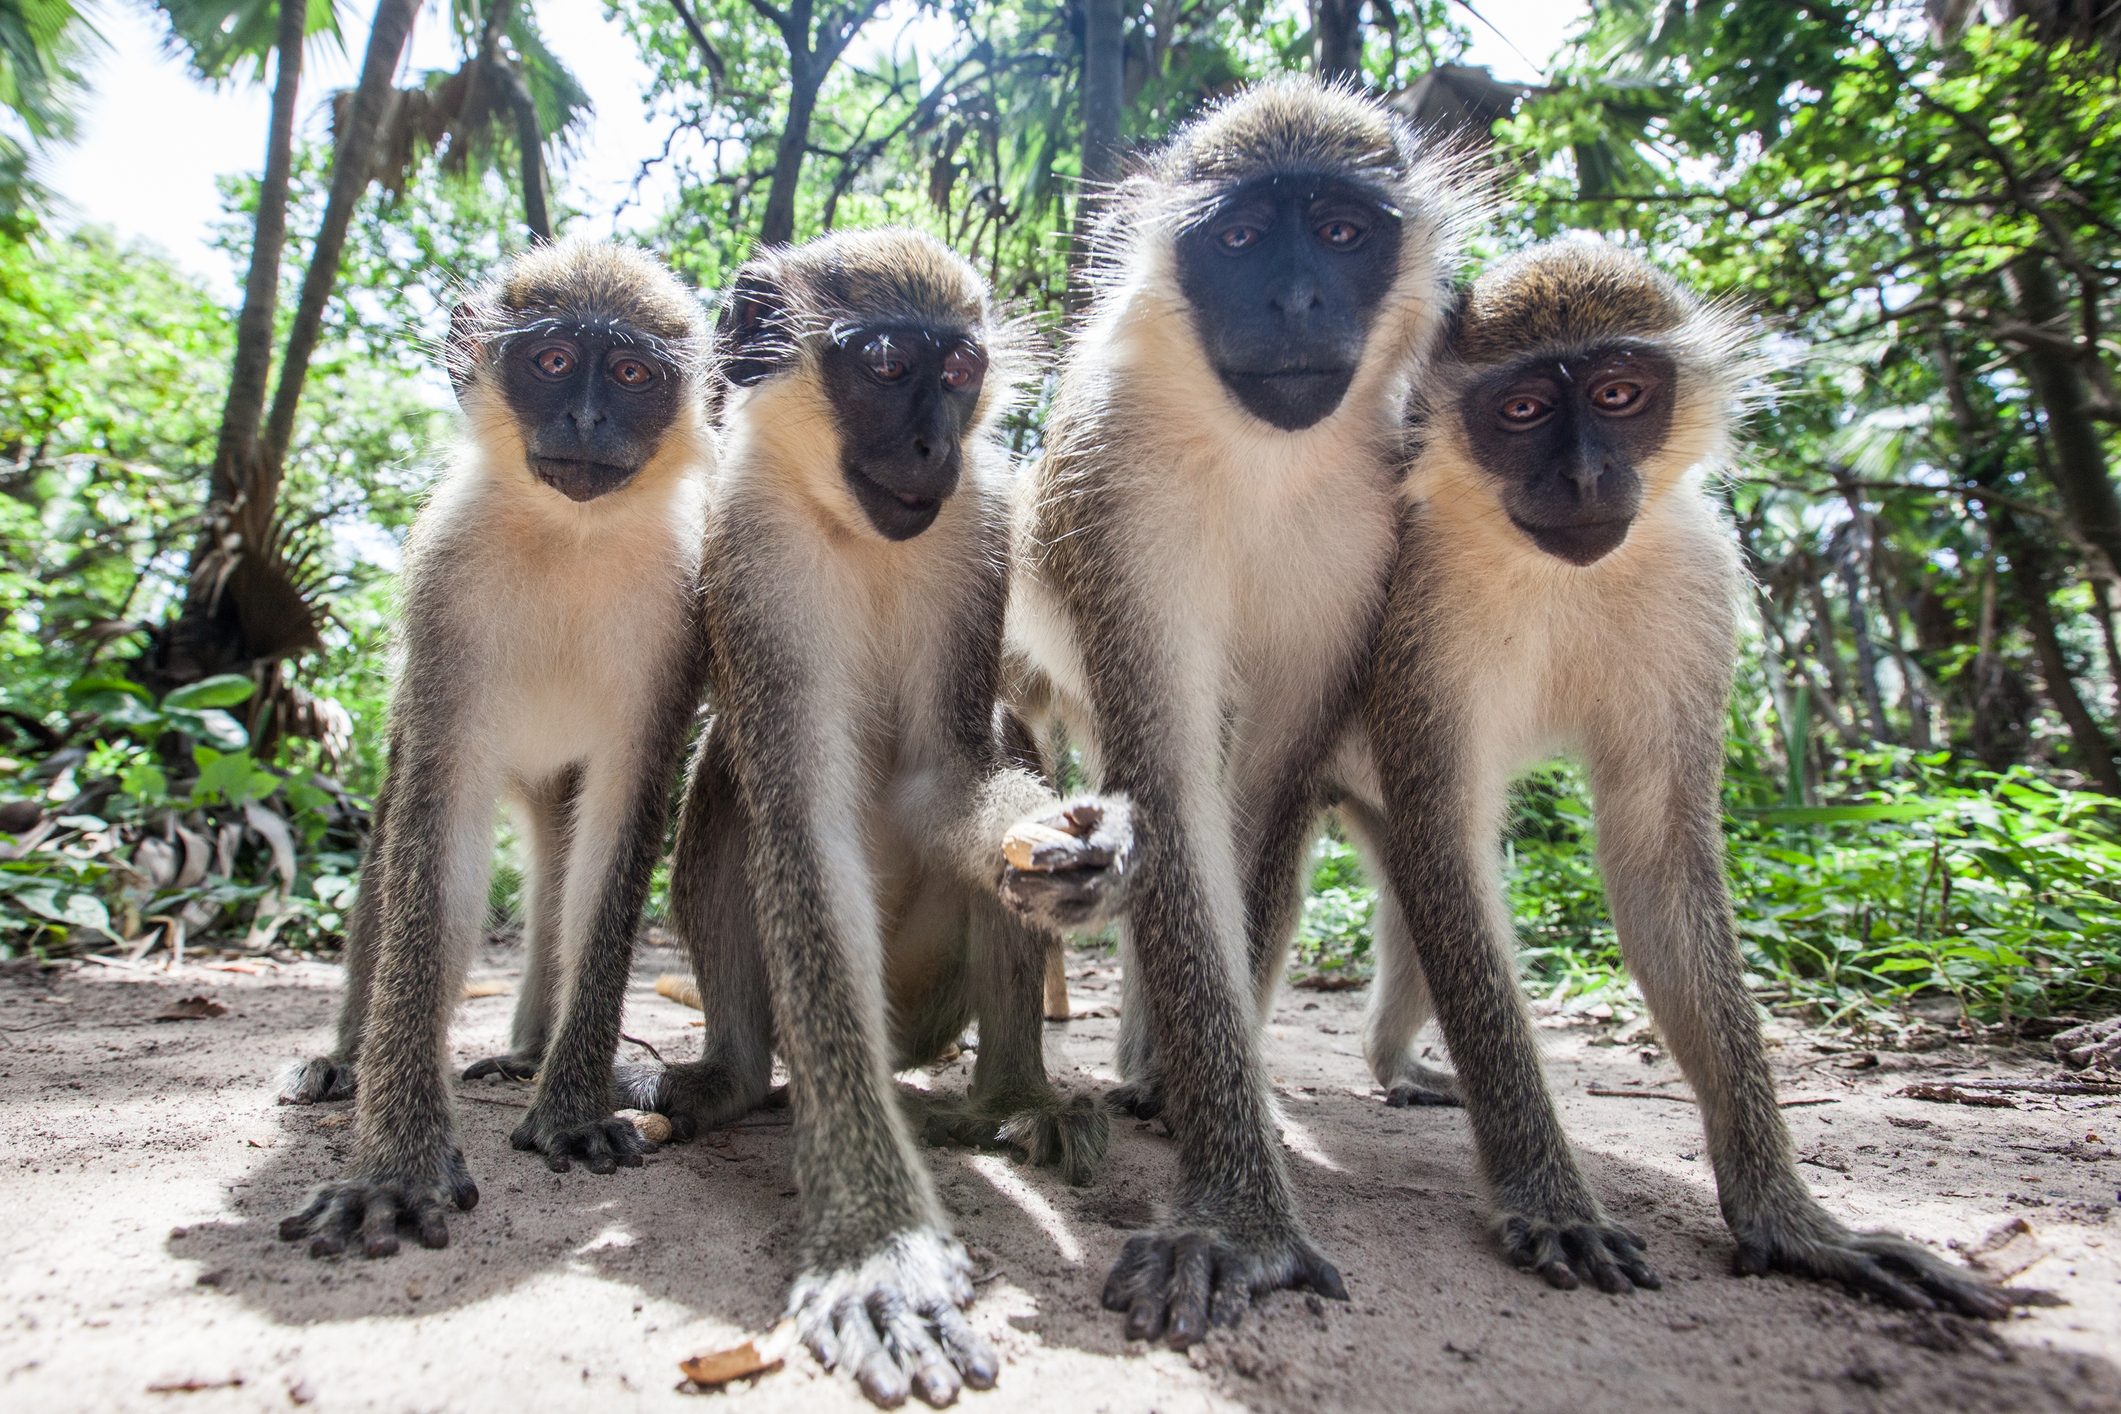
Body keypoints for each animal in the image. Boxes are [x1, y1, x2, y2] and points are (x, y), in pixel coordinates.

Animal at [276, 241, 715, 1257]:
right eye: (552, 361)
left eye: (630, 375)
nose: (586, 418)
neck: (570, 536)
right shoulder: (445, 583)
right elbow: (434, 838)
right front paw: (395, 1167)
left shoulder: (680, 609)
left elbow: (619, 833)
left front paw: (573, 1111)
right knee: (391, 842)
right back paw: (347, 1059)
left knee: (559, 864)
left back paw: (529, 1054)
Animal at [612, 228, 1132, 1407]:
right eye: (887, 364)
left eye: (961, 370)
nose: (935, 443)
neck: (856, 531)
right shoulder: (746, 549)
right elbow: (798, 830)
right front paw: (877, 1247)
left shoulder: (981, 522)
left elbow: (952, 774)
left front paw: (1065, 856)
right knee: (730, 784)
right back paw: (730, 1080)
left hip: (933, 994)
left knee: (1007, 735)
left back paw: (1008, 1101)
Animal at [1006, 79, 1471, 1345]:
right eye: (1247, 236)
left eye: (1345, 231)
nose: (1298, 298)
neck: (1262, 458)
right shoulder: (1117, 497)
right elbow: (1167, 785)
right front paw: (1237, 1216)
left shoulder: (1372, 529)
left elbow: (1262, 793)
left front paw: (1206, 1130)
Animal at [1352, 236, 2017, 1316]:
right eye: (1523, 409)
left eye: (1620, 393)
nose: (1586, 476)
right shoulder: (1421, 606)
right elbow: (1444, 843)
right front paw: (1548, 1195)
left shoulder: (1697, 581)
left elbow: (1654, 856)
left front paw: (1791, 1221)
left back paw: (1394, 1062)